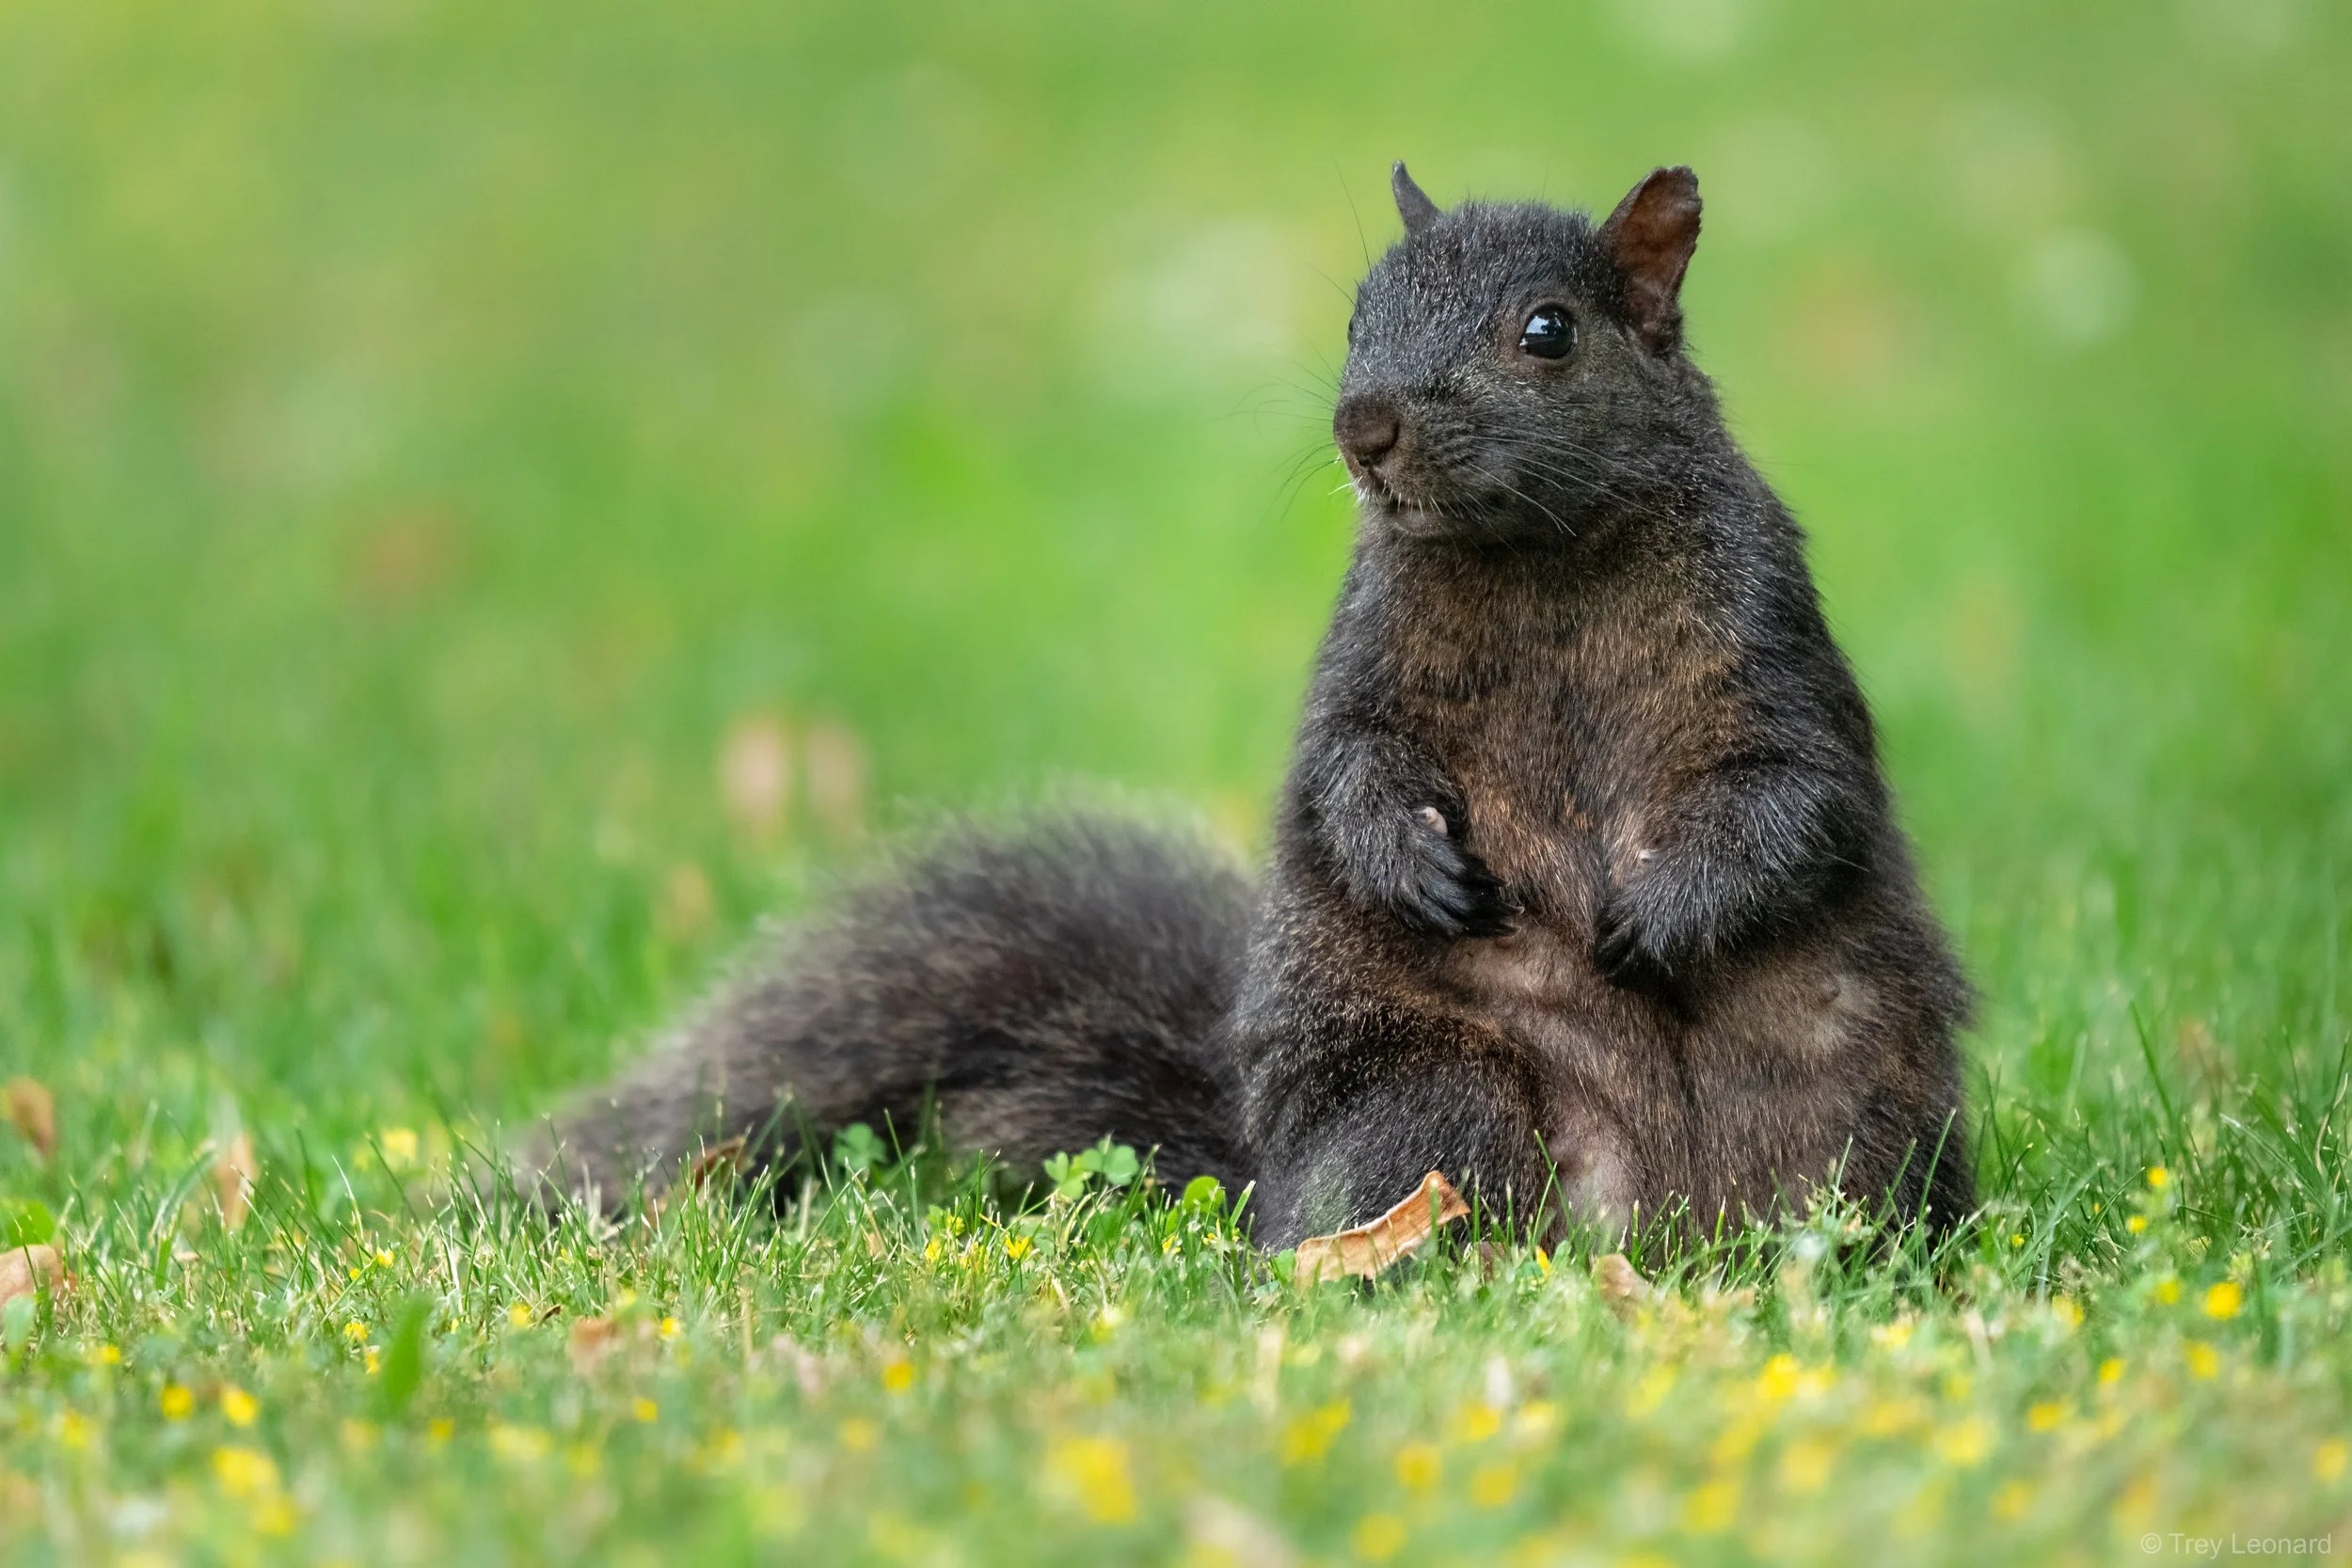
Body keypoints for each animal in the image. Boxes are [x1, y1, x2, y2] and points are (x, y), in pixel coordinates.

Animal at [528, 163, 1975, 1248]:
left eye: (1548, 330)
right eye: (1356, 314)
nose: (1363, 425)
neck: (1541, 556)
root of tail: (1657, 1232)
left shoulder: (1763, 623)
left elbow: (1793, 791)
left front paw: (1654, 914)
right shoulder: (1362, 653)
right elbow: (1344, 770)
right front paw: (1414, 865)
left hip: (1856, 1121)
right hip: (1429, 1096)